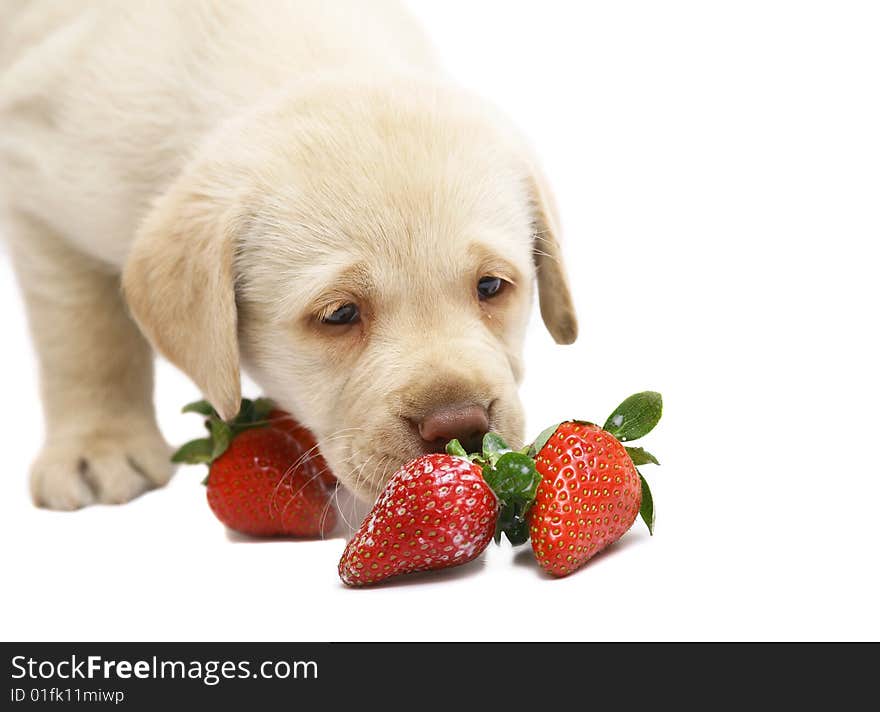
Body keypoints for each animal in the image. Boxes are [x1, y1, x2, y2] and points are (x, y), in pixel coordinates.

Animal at [0, 1, 576, 512]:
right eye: (339, 314)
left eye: (491, 287)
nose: (460, 427)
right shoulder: (38, 193)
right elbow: (85, 337)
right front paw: (99, 443)